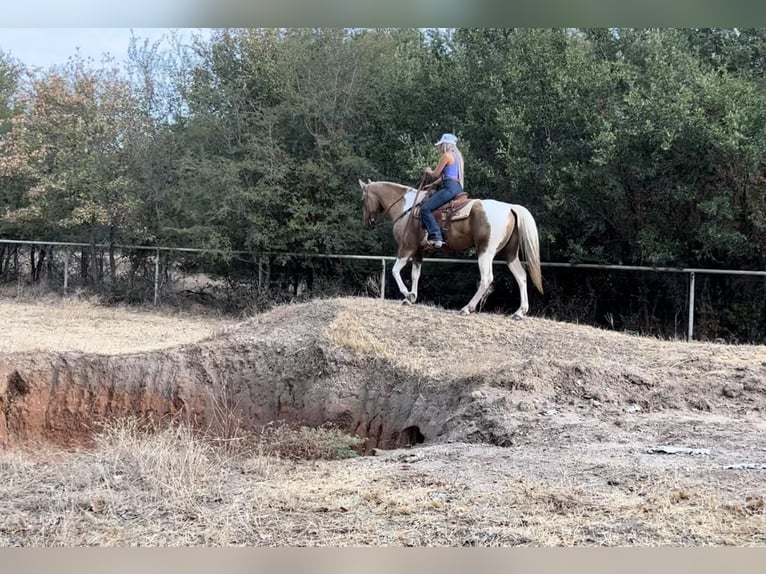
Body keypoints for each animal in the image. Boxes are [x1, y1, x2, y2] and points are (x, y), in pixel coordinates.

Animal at [362, 179, 544, 318]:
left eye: (363, 199)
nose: (368, 223)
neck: (407, 209)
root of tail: (510, 207)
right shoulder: (418, 251)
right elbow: (415, 274)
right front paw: (411, 297)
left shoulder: (407, 248)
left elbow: (395, 270)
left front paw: (407, 294)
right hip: (510, 254)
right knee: (521, 276)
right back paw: (520, 312)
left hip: (485, 252)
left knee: (486, 279)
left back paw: (467, 308)